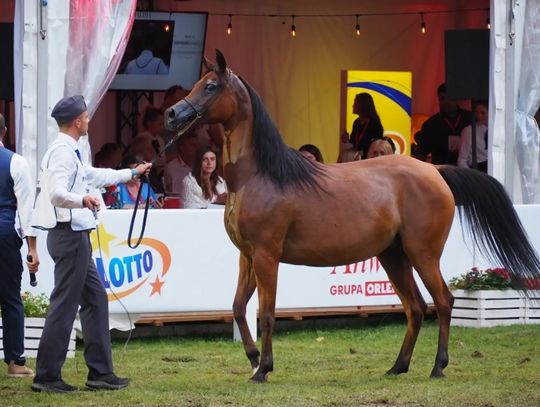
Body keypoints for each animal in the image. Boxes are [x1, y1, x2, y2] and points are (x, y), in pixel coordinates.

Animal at [166, 50, 540, 382]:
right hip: (393, 256)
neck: (260, 176)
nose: (171, 114)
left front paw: (264, 369)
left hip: (423, 253)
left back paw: (437, 367)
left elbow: (267, 313)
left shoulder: (266, 255)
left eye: (211, 86)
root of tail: (436, 171)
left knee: (443, 302)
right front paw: (254, 358)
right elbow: (238, 308)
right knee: (416, 307)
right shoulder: (247, 256)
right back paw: (398, 367)